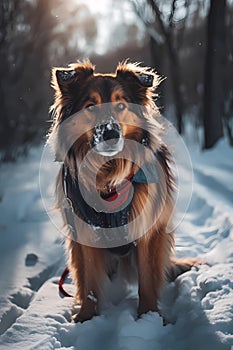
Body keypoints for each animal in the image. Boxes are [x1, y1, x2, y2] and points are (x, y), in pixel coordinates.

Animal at [50, 60, 198, 322]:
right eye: (90, 106)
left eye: (120, 105)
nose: (111, 133)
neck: (108, 176)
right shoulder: (85, 234)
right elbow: (89, 283)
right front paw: (86, 318)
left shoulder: (147, 230)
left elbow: (147, 281)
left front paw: (149, 317)